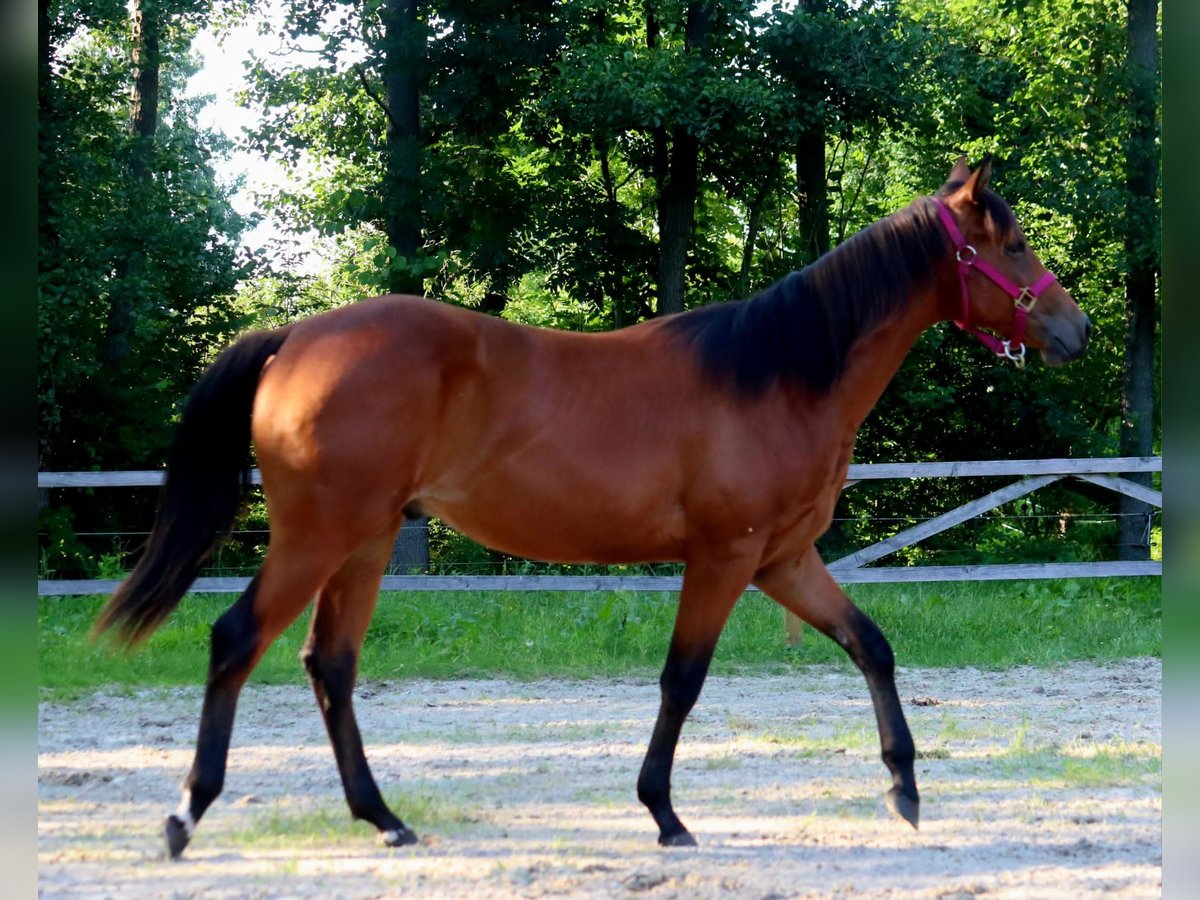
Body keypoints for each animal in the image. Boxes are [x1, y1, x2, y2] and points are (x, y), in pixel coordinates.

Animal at [95, 158, 1090, 857]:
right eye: (1011, 246)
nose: (1075, 330)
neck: (778, 374)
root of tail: (296, 334)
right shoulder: (726, 557)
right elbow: (683, 680)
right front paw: (664, 813)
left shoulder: (783, 561)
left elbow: (872, 646)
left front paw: (904, 789)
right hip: (319, 536)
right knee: (237, 640)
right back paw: (187, 814)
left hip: (365, 543)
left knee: (329, 665)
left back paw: (382, 817)